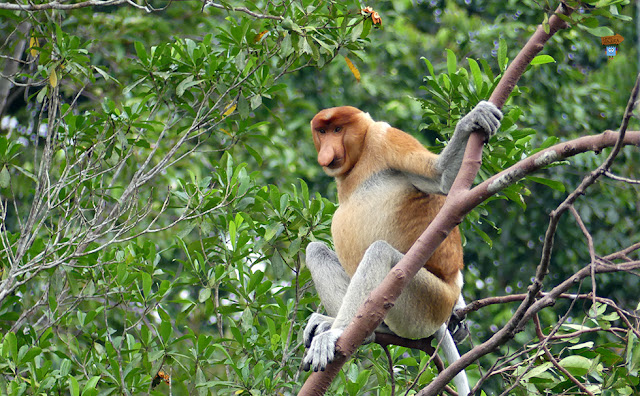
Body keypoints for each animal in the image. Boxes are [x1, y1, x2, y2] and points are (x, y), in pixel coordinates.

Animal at [302, 101, 502, 392]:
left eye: (338, 130)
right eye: (323, 132)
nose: (327, 151)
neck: (360, 157)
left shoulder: (386, 138)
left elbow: (441, 178)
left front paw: (471, 121)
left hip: (428, 300)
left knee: (380, 252)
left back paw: (339, 332)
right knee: (314, 250)